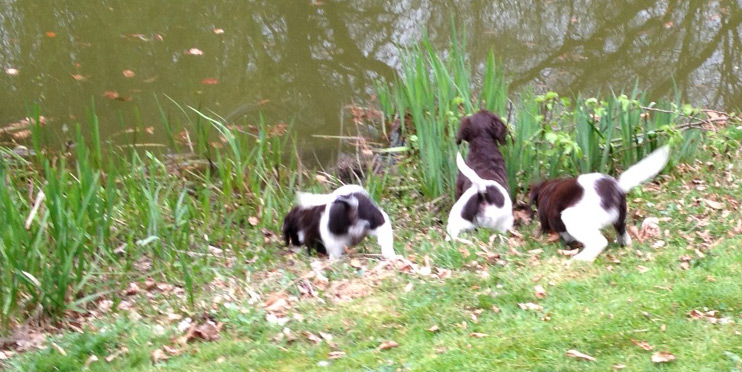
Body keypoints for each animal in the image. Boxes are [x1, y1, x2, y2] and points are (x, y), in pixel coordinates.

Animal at [528, 145, 676, 262]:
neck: (547, 189)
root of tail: (616, 188)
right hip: (620, 218)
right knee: (624, 236)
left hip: (573, 218)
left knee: (599, 242)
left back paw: (579, 259)